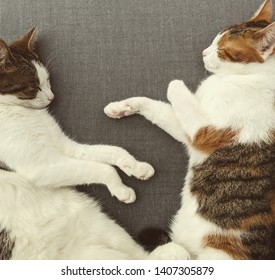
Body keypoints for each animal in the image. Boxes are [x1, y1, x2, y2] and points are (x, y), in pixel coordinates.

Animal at [105, 0, 275, 260]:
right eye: (215, 40)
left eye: (221, 49)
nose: (203, 52)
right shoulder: (187, 131)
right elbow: (155, 107)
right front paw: (121, 107)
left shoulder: (203, 131)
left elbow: (174, 86)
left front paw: (175, 83)